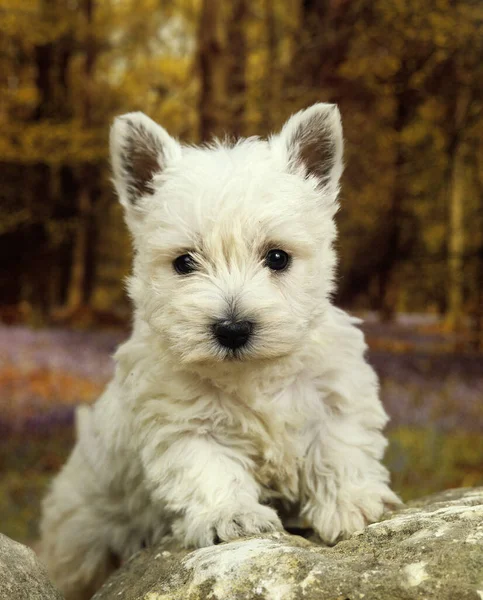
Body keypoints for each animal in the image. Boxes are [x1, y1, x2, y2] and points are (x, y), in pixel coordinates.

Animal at [38, 105, 400, 596]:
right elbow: (210, 470)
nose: (232, 329)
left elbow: (340, 447)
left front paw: (351, 502)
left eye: (278, 257)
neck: (252, 372)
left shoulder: (335, 393)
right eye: (184, 262)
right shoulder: (184, 423)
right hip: (81, 538)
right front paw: (234, 516)